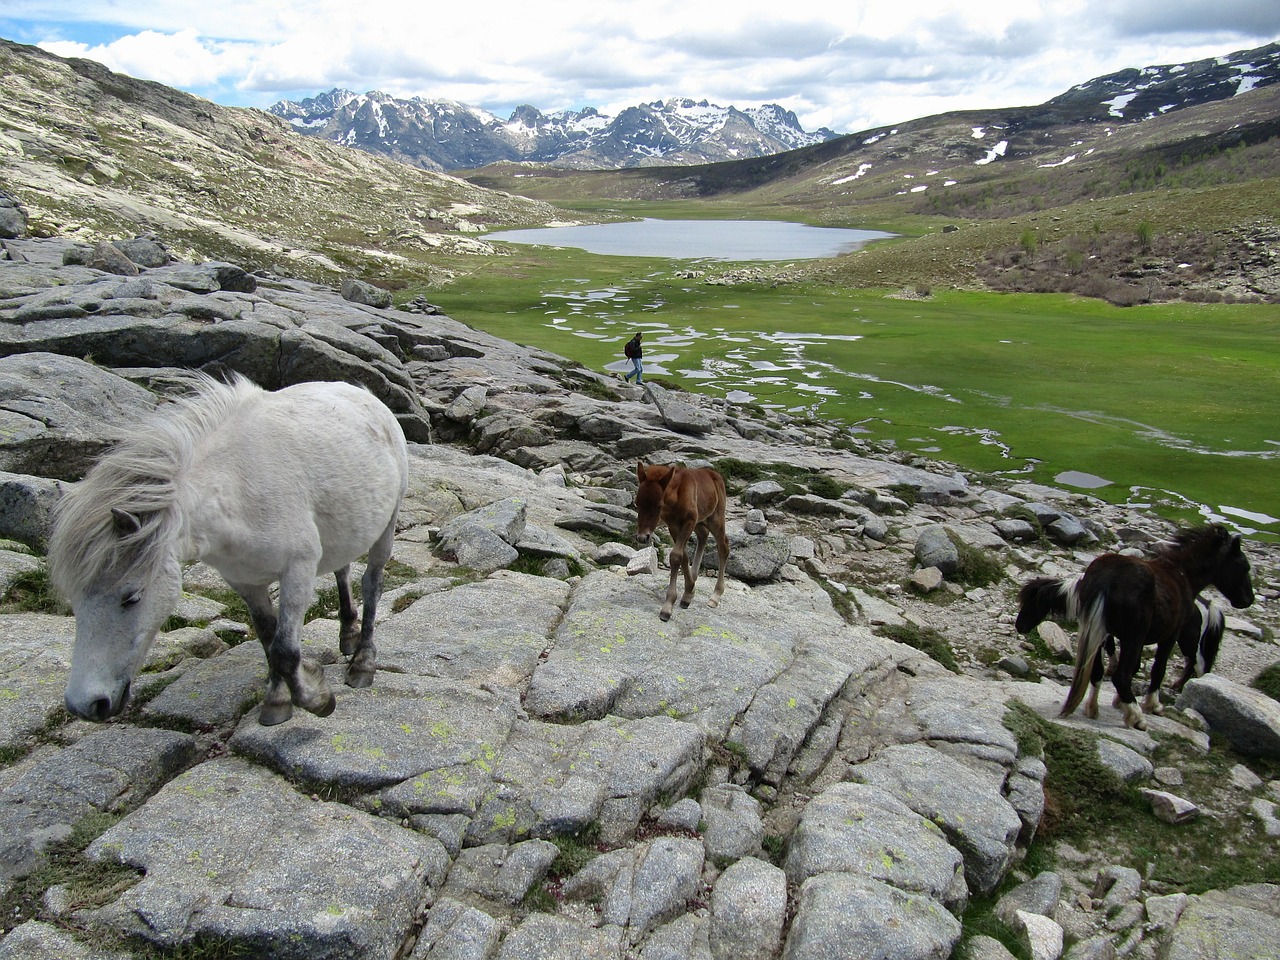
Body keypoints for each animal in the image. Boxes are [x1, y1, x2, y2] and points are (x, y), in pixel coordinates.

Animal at [49, 376, 407, 727]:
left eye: (131, 597)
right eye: (74, 601)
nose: (86, 705)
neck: (236, 488)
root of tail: (364, 394)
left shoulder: (298, 570)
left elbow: (285, 651)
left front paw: (318, 699)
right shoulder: (244, 582)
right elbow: (267, 637)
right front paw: (277, 700)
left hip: (386, 527)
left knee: (371, 584)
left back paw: (362, 662)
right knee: (342, 569)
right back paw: (347, 633)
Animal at [632, 463, 727, 624]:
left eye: (658, 505)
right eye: (637, 503)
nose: (642, 537)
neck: (675, 498)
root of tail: (717, 476)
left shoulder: (689, 521)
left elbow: (676, 556)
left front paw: (667, 608)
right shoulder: (673, 527)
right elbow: (683, 556)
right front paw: (689, 593)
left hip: (715, 518)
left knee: (723, 547)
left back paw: (715, 596)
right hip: (700, 521)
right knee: (703, 535)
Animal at [1013, 527, 1254, 727]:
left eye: (1031, 603)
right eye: (1243, 566)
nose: (1247, 600)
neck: (1182, 574)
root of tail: (1209, 606)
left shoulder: (1110, 635)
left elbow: (1120, 668)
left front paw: (1117, 703)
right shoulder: (1163, 635)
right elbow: (1154, 669)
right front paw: (1149, 705)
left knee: (1194, 665)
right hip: (1160, 639)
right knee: (1182, 667)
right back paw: (1138, 717)